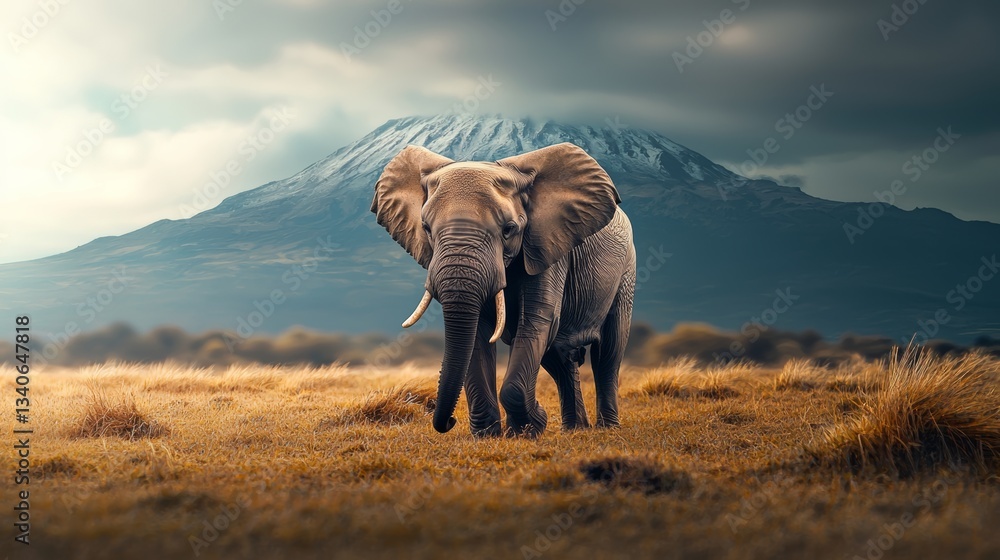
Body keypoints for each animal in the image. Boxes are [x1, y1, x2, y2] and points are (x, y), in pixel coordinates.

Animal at [370, 142, 636, 437]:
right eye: (426, 228)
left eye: (509, 229)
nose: (449, 422)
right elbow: (477, 332)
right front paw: (489, 434)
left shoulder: (546, 246)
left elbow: (537, 319)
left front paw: (530, 427)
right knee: (559, 356)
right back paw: (574, 429)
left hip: (626, 272)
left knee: (607, 353)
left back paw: (607, 428)